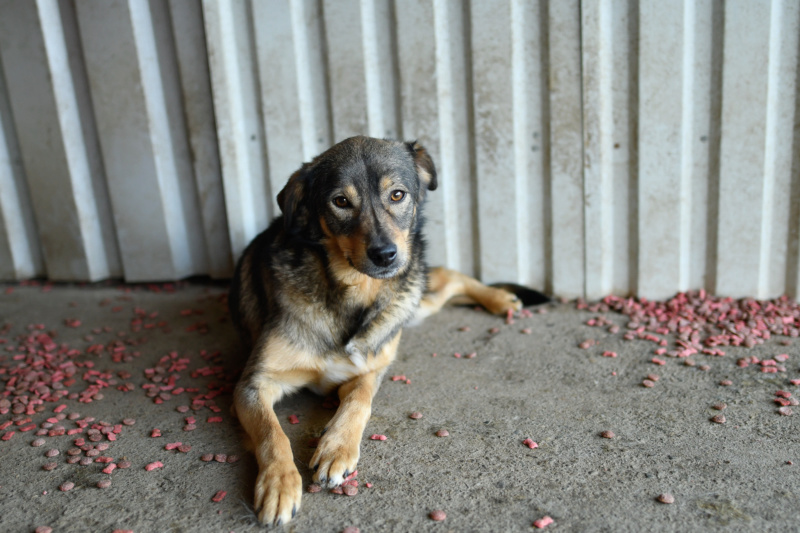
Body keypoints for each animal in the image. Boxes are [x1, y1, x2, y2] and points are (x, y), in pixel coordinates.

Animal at [230, 136, 544, 524]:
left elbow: (359, 401)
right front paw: (279, 484)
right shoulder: (253, 384)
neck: (352, 295)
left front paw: (336, 448)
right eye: (340, 202)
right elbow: (273, 434)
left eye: (397, 195)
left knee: (449, 277)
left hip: (412, 299)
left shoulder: (370, 367)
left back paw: (500, 298)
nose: (385, 255)